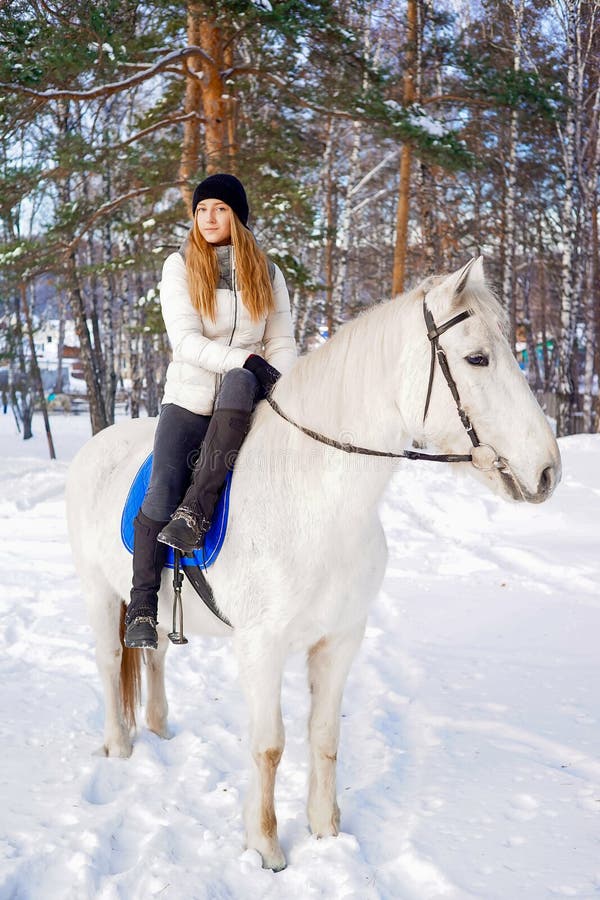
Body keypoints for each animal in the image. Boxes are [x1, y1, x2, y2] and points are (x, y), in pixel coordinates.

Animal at [67, 258, 564, 872]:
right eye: (477, 358)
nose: (547, 470)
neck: (315, 500)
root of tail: (97, 446)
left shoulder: (340, 639)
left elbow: (325, 737)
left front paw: (327, 832)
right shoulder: (261, 647)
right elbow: (269, 745)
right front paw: (266, 848)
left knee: (154, 652)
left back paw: (159, 731)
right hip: (98, 592)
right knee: (112, 660)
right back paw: (120, 745)